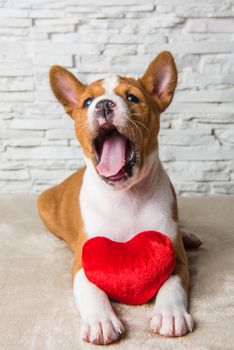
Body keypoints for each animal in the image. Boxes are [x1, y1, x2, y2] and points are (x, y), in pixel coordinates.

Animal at [38, 50, 201, 346]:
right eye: (87, 102)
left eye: (133, 98)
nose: (103, 105)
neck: (127, 195)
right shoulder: (84, 261)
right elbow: (92, 291)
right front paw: (100, 321)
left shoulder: (175, 256)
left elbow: (172, 285)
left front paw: (170, 314)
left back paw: (189, 235)